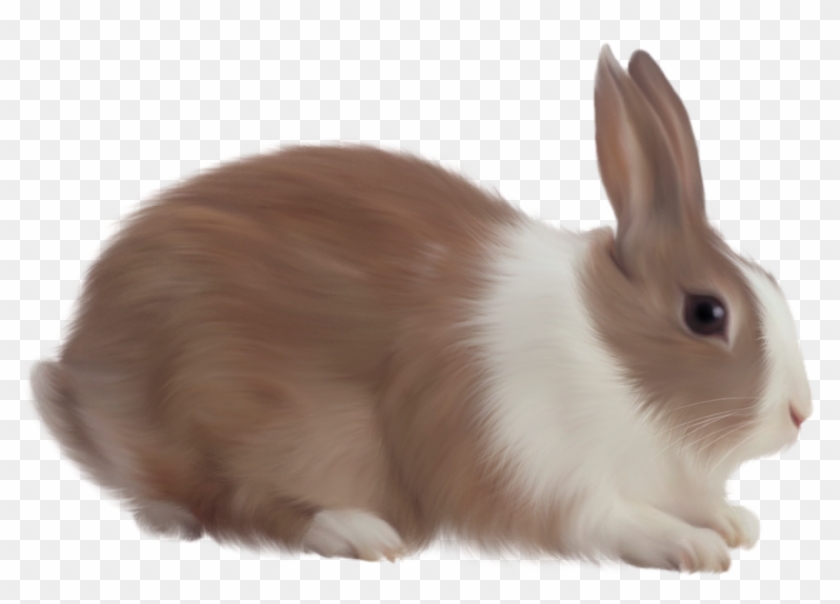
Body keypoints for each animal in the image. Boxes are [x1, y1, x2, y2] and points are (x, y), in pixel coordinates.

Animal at [30, 45, 811, 572]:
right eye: (706, 314)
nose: (800, 413)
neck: (609, 353)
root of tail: (82, 380)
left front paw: (735, 521)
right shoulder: (537, 474)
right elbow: (611, 519)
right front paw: (694, 546)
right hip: (242, 409)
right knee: (238, 503)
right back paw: (356, 532)